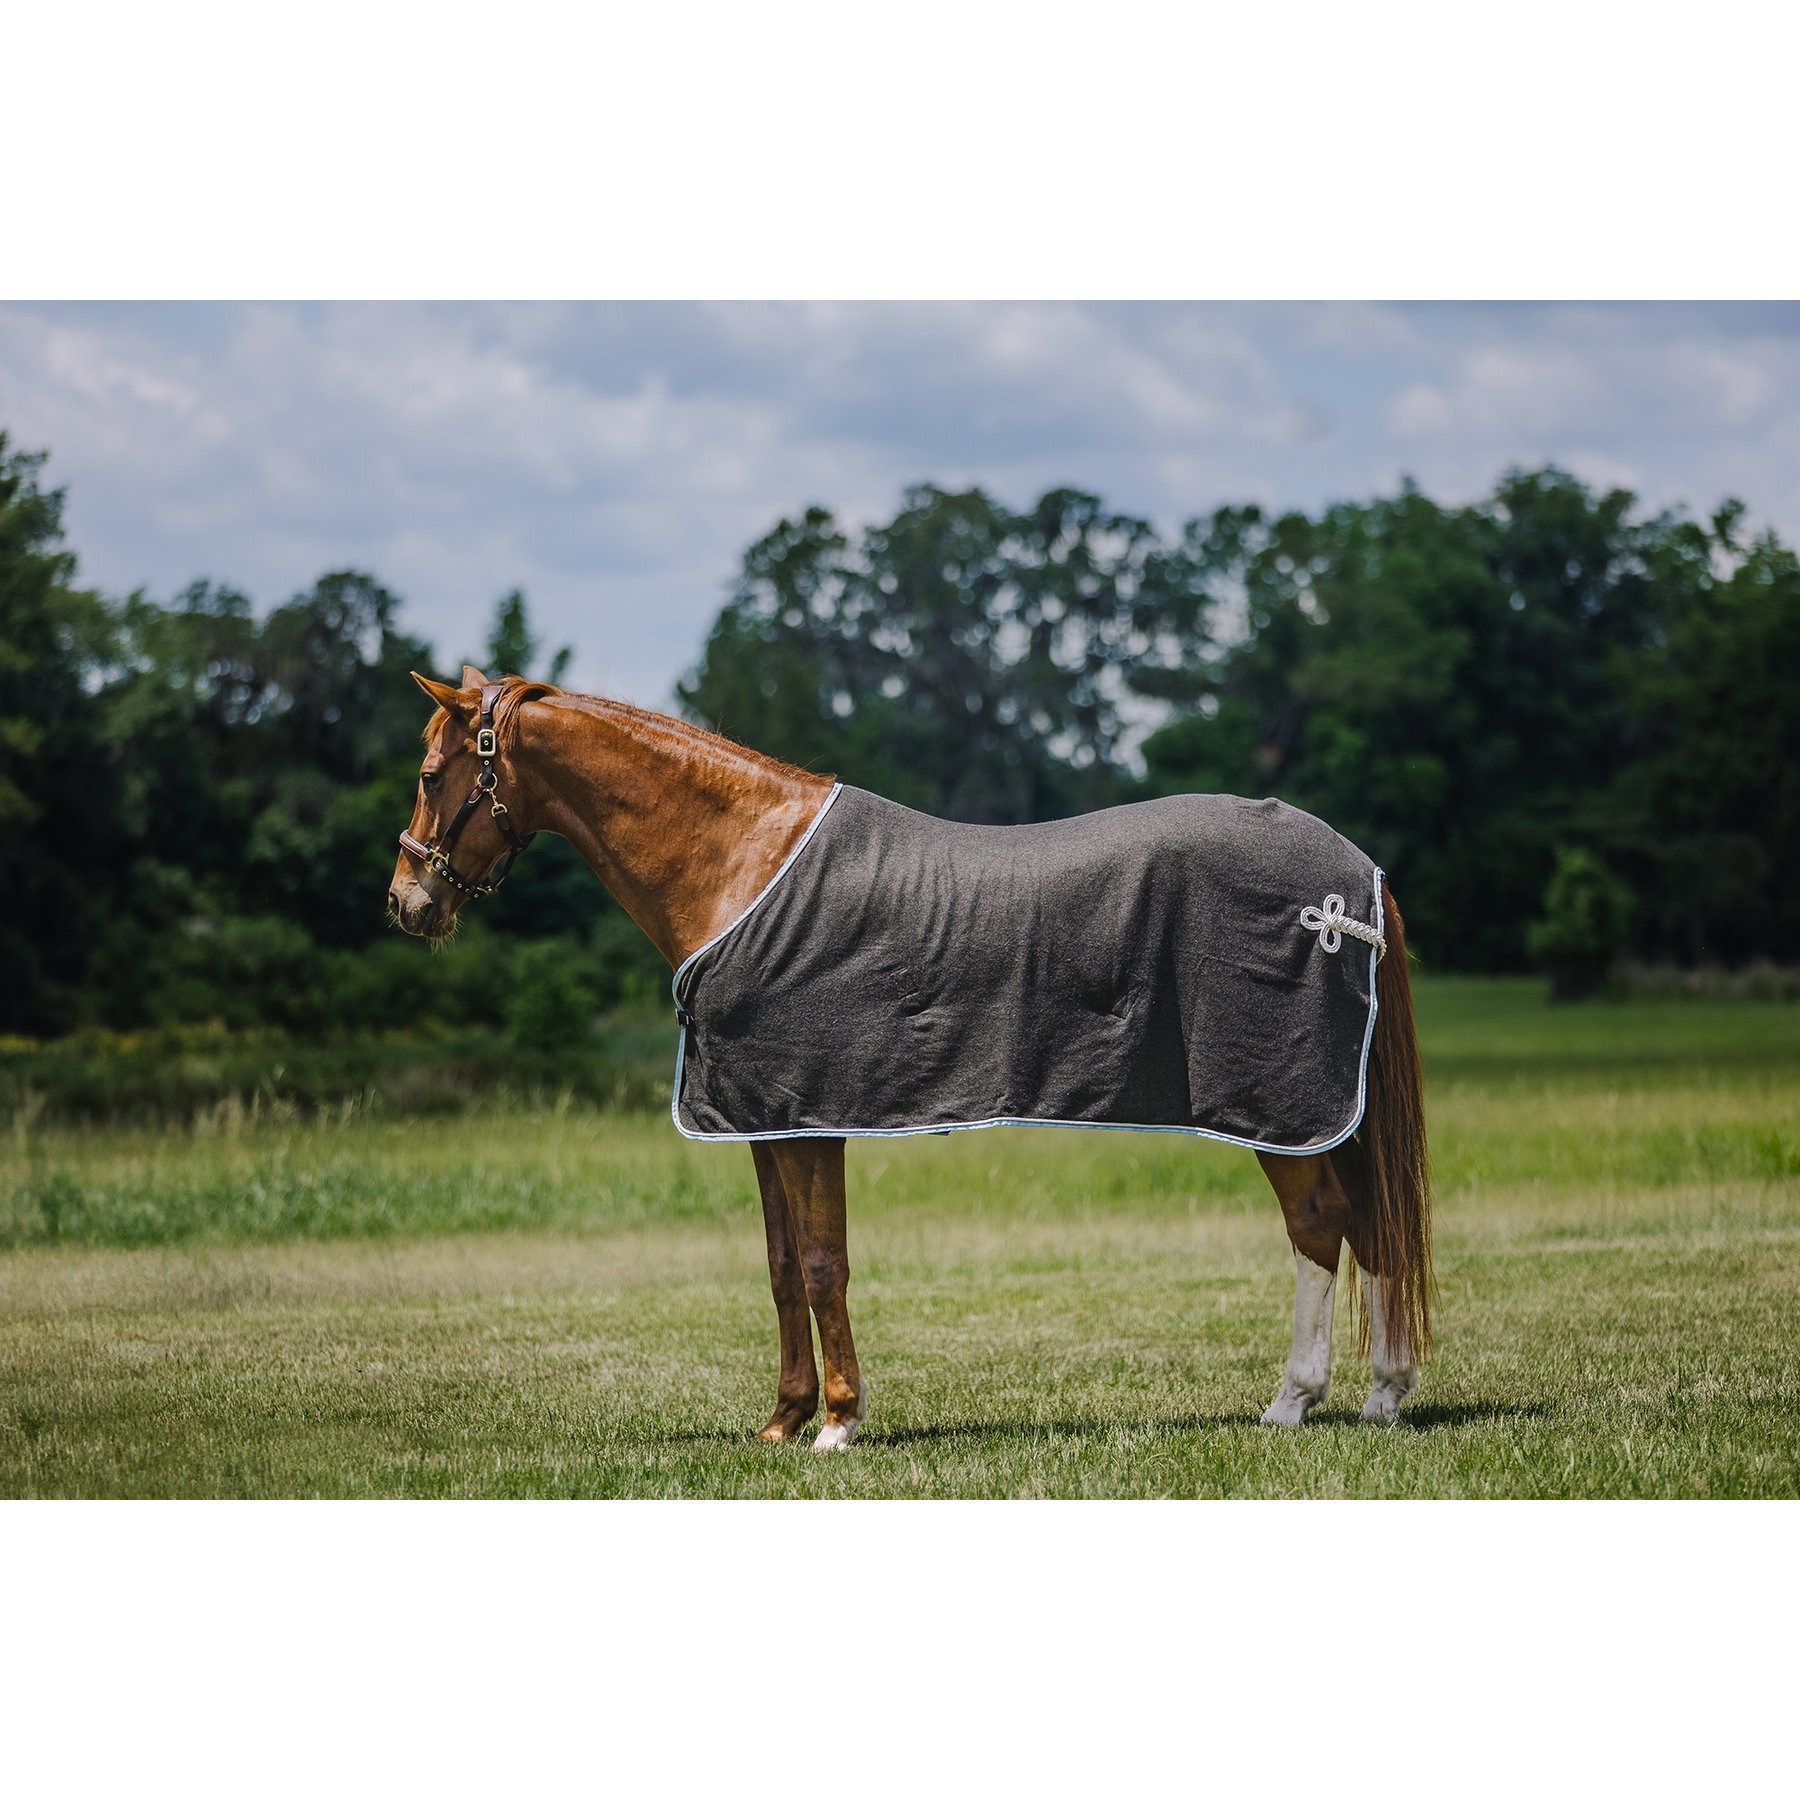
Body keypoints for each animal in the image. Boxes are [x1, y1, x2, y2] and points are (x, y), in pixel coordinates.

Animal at [389, 667, 1432, 1449]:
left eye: (435, 773)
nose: (406, 904)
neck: (743, 864)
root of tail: (1354, 877)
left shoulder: (812, 1118)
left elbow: (822, 1263)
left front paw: (838, 1424)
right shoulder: (768, 1119)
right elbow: (779, 1266)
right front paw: (782, 1421)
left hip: (1276, 1101)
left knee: (1319, 1226)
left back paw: (1295, 1401)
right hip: (1323, 1110)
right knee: (1369, 1223)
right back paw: (1382, 1393)